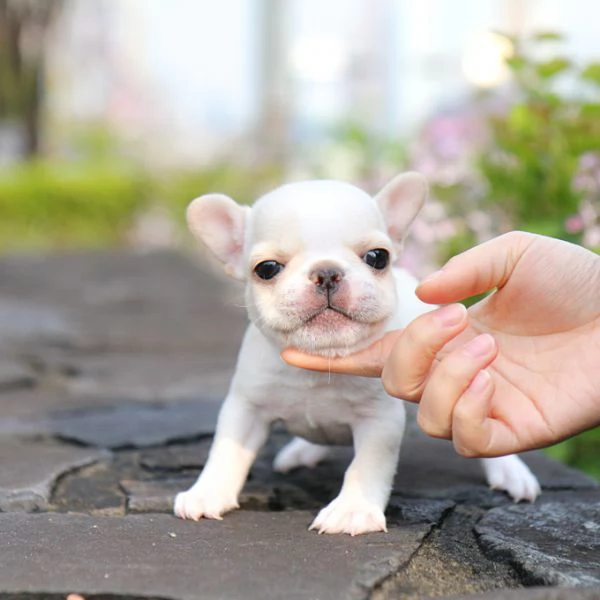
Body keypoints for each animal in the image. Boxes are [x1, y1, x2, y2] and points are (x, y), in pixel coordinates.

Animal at [175, 172, 544, 536]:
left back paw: (510, 473)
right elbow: (226, 451)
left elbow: (365, 465)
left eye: (377, 257)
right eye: (266, 268)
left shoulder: (379, 420)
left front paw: (353, 510)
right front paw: (207, 492)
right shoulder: (246, 407)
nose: (326, 272)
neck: (321, 365)